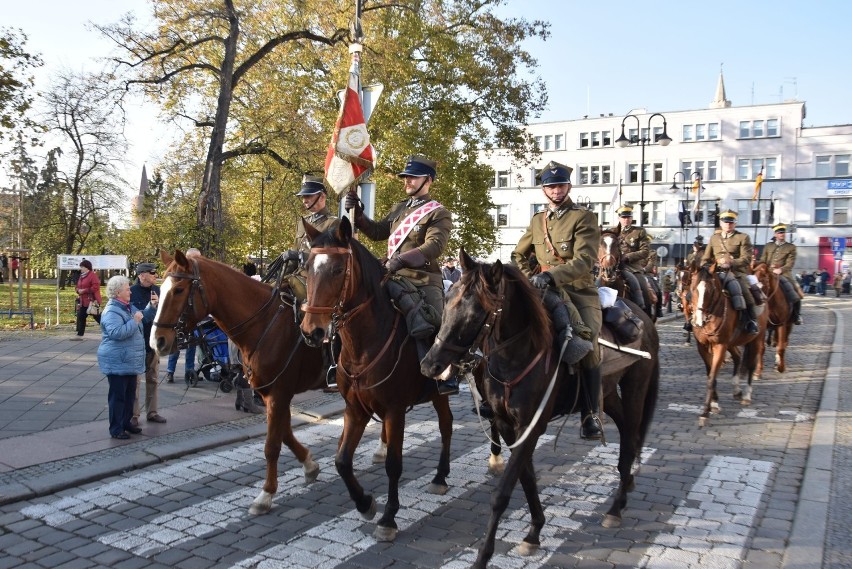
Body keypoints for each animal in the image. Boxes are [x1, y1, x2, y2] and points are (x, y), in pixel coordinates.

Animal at [150, 248, 326, 516]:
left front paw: (265, 495)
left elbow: (272, 445)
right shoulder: (271, 393)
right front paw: (309, 465)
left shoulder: (278, 393)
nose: (157, 341)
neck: (265, 323)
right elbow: (284, 433)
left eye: (179, 290)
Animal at [298, 217, 456, 540]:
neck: (364, 344)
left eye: (337, 270)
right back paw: (439, 476)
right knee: (446, 425)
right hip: (437, 394)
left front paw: (388, 517)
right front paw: (365, 503)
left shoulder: (395, 412)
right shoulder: (355, 409)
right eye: (306, 267)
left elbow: (394, 464)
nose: (312, 332)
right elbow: (342, 460)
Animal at [420, 248, 660, 568]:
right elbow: (527, 479)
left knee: (631, 436)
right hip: (607, 394)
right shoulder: (508, 427)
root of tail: (643, 315)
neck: (516, 356)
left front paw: (483, 555)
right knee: (624, 430)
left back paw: (616, 507)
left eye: (475, 313)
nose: (429, 366)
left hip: (635, 387)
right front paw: (534, 532)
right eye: (447, 302)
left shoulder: (531, 426)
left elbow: (503, 492)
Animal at [688, 264, 768, 424]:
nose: (698, 320)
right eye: (693, 288)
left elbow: (712, 377)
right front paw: (714, 403)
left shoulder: (720, 346)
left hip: (756, 339)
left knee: (751, 365)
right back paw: (736, 389)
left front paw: (705, 412)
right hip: (732, 342)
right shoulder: (702, 347)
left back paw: (747, 395)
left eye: (710, 290)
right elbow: (710, 374)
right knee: (737, 357)